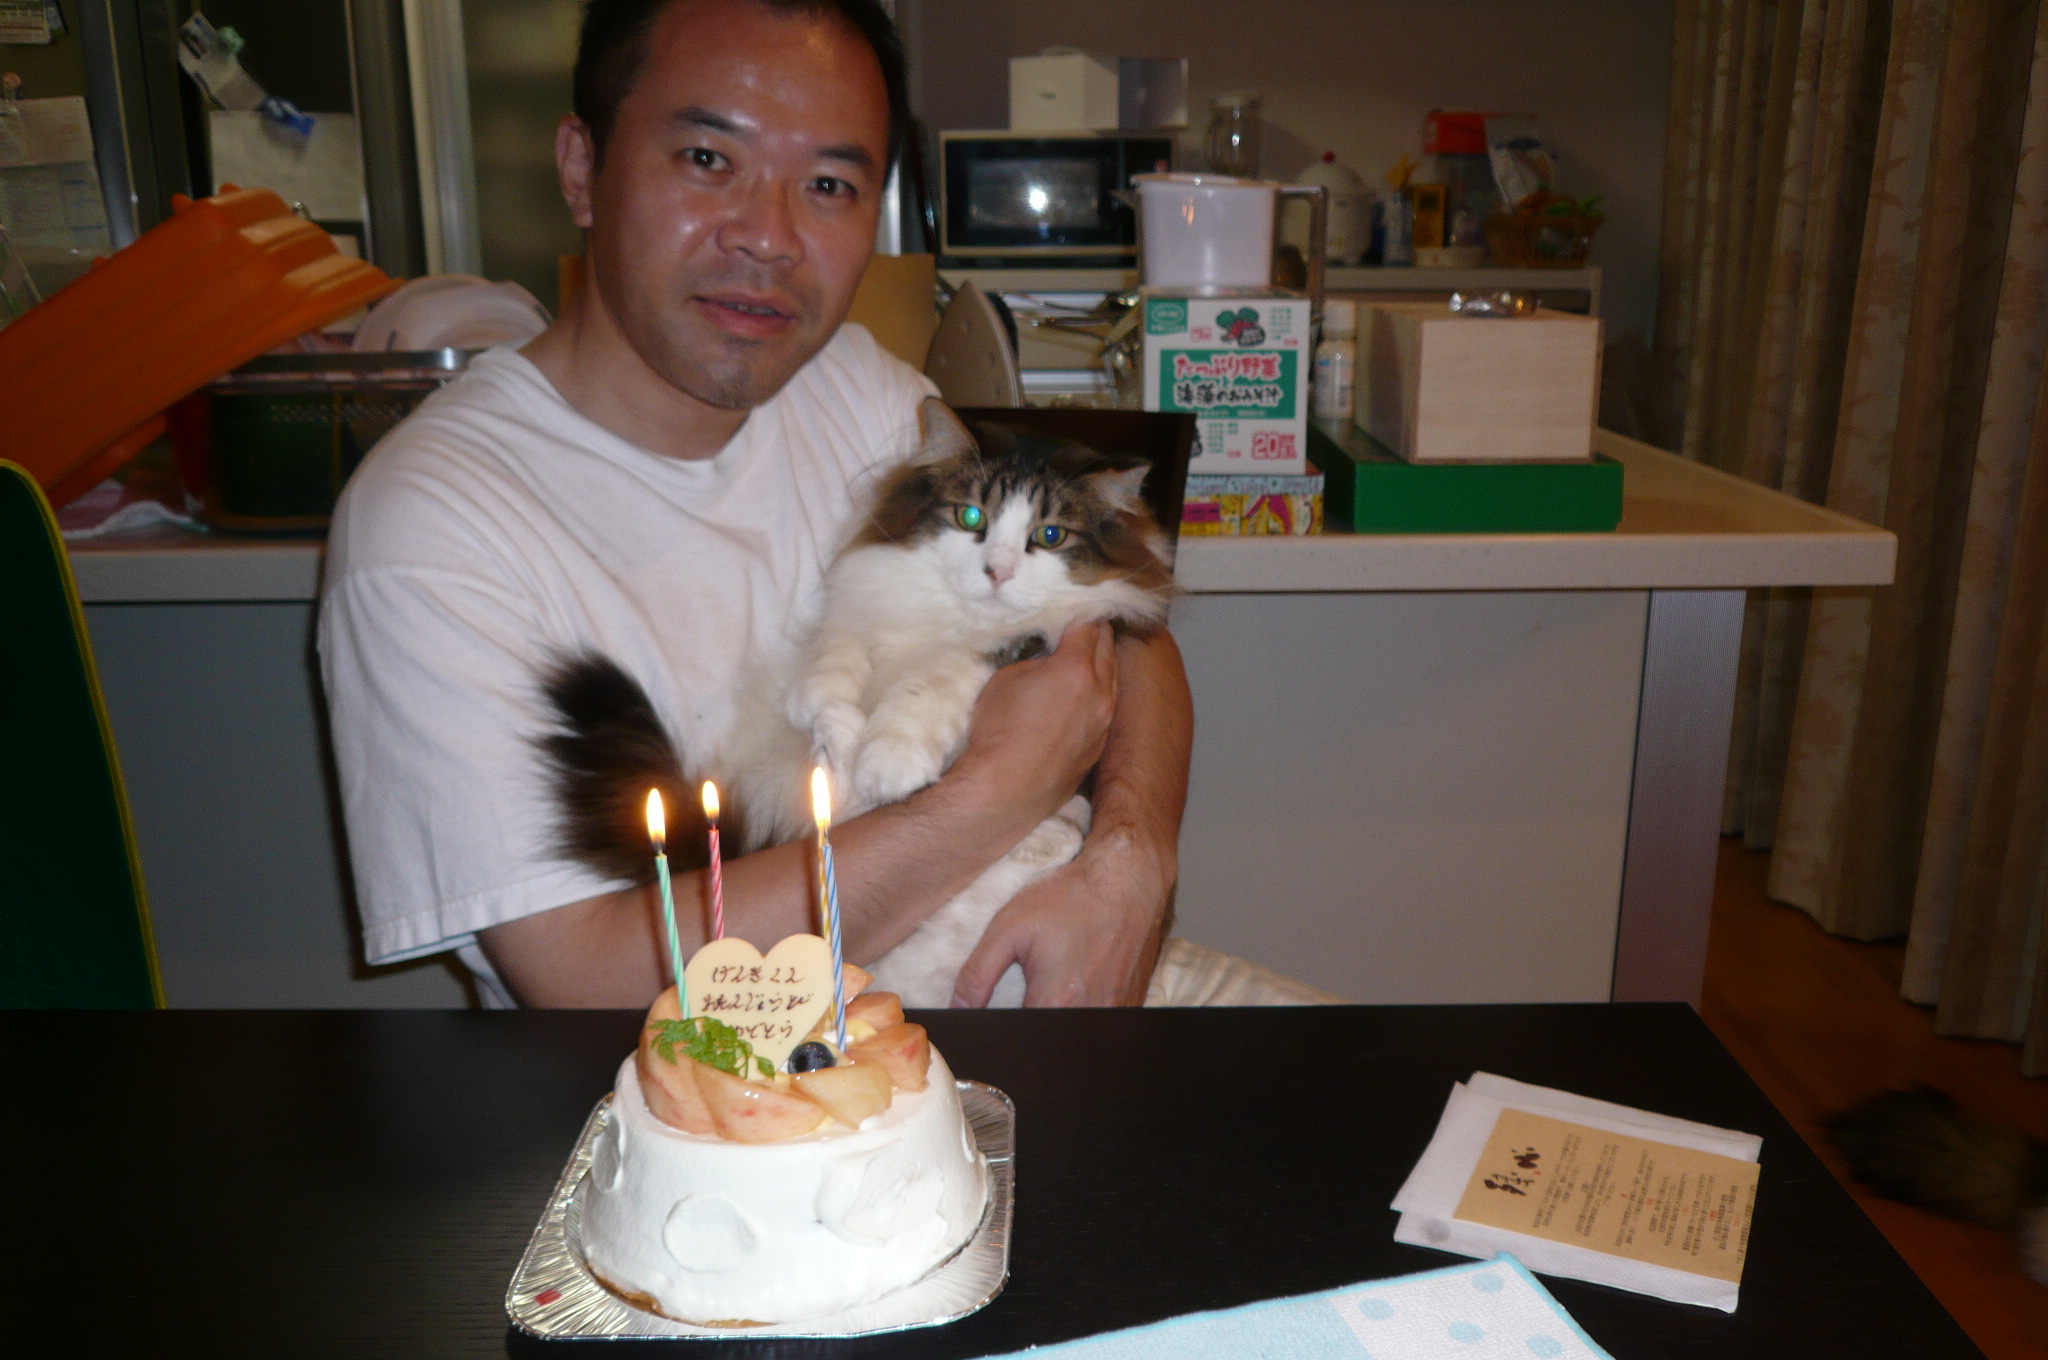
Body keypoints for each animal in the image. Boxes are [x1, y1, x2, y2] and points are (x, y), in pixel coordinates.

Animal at [536, 398, 1177, 1008]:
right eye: (971, 517)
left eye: (1049, 537)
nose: (997, 571)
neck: (949, 617)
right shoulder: (854, 619)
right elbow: (832, 672)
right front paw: (837, 739)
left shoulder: (1017, 647)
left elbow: (927, 683)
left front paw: (886, 764)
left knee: (1049, 845)